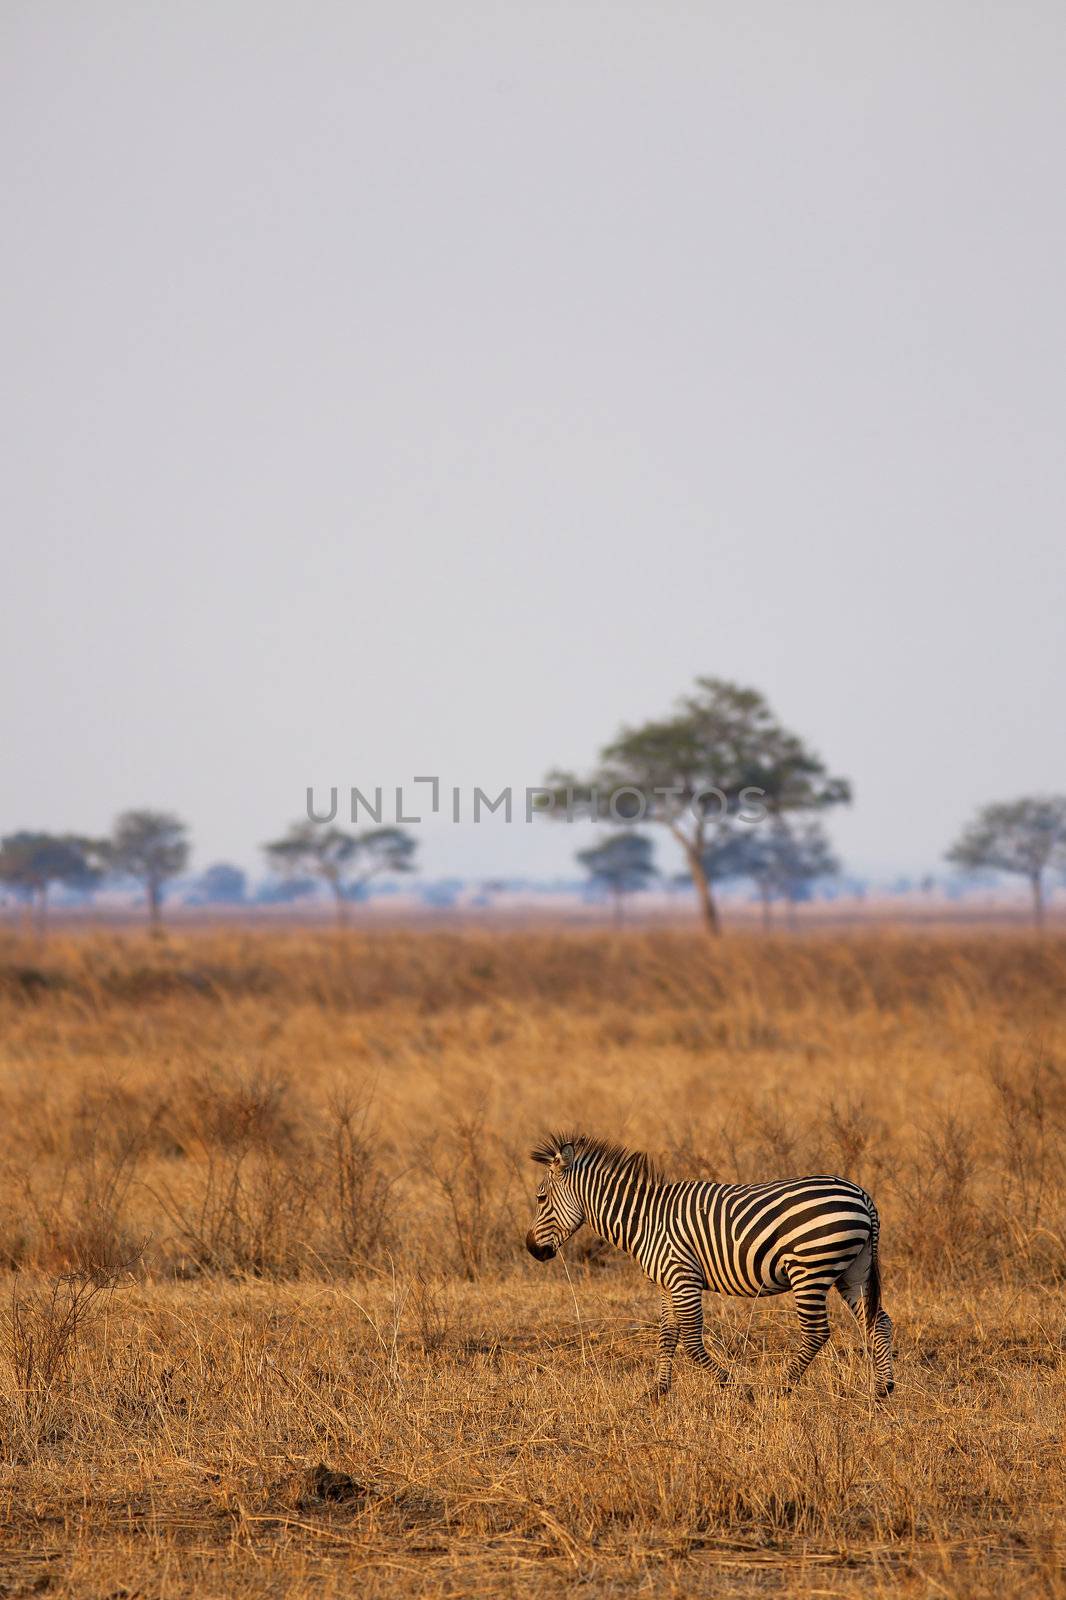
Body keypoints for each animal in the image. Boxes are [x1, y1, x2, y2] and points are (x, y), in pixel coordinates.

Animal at [521, 1126, 889, 1401]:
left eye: (540, 1198)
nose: (532, 1250)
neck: (645, 1221)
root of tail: (862, 1195)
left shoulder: (682, 1277)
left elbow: (691, 1341)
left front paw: (736, 1388)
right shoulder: (667, 1283)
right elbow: (667, 1335)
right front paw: (657, 1392)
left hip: (810, 1268)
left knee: (817, 1332)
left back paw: (778, 1387)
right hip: (852, 1271)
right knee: (878, 1321)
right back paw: (882, 1391)